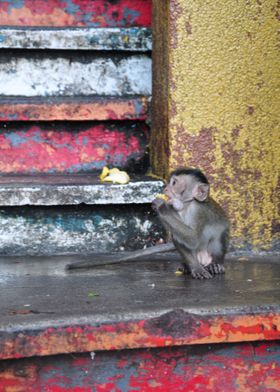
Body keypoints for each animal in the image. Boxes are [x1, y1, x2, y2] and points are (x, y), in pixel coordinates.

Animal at [66, 168, 230, 278]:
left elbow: (193, 238)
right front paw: (194, 268)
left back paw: (216, 264)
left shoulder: (198, 211)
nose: (165, 188)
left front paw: (161, 206)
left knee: (217, 237)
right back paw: (187, 266)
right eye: (170, 182)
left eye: (174, 183)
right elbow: (179, 239)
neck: (186, 205)